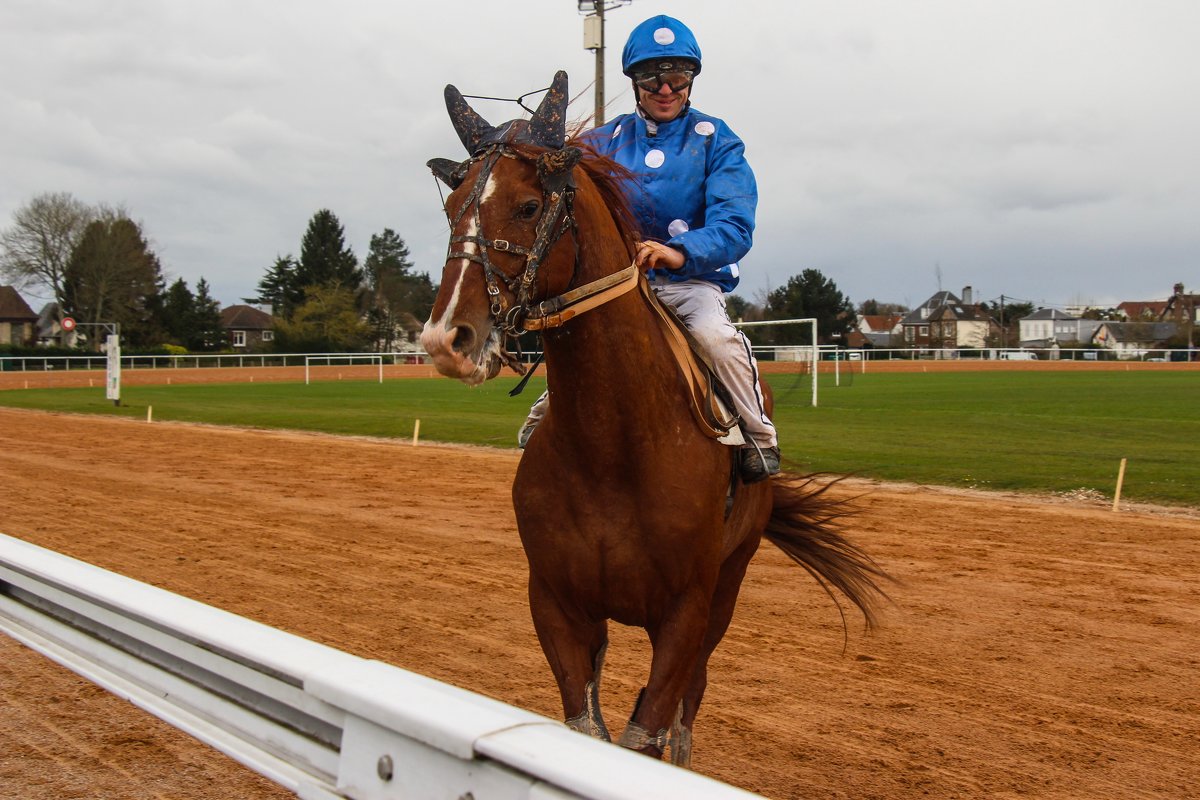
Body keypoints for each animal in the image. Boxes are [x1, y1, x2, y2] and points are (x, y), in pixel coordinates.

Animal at [422, 71, 892, 767]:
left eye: (529, 207)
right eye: (453, 209)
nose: (447, 338)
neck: (613, 446)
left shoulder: (685, 612)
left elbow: (650, 728)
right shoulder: (557, 604)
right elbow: (587, 724)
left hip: (729, 582)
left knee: (691, 699)